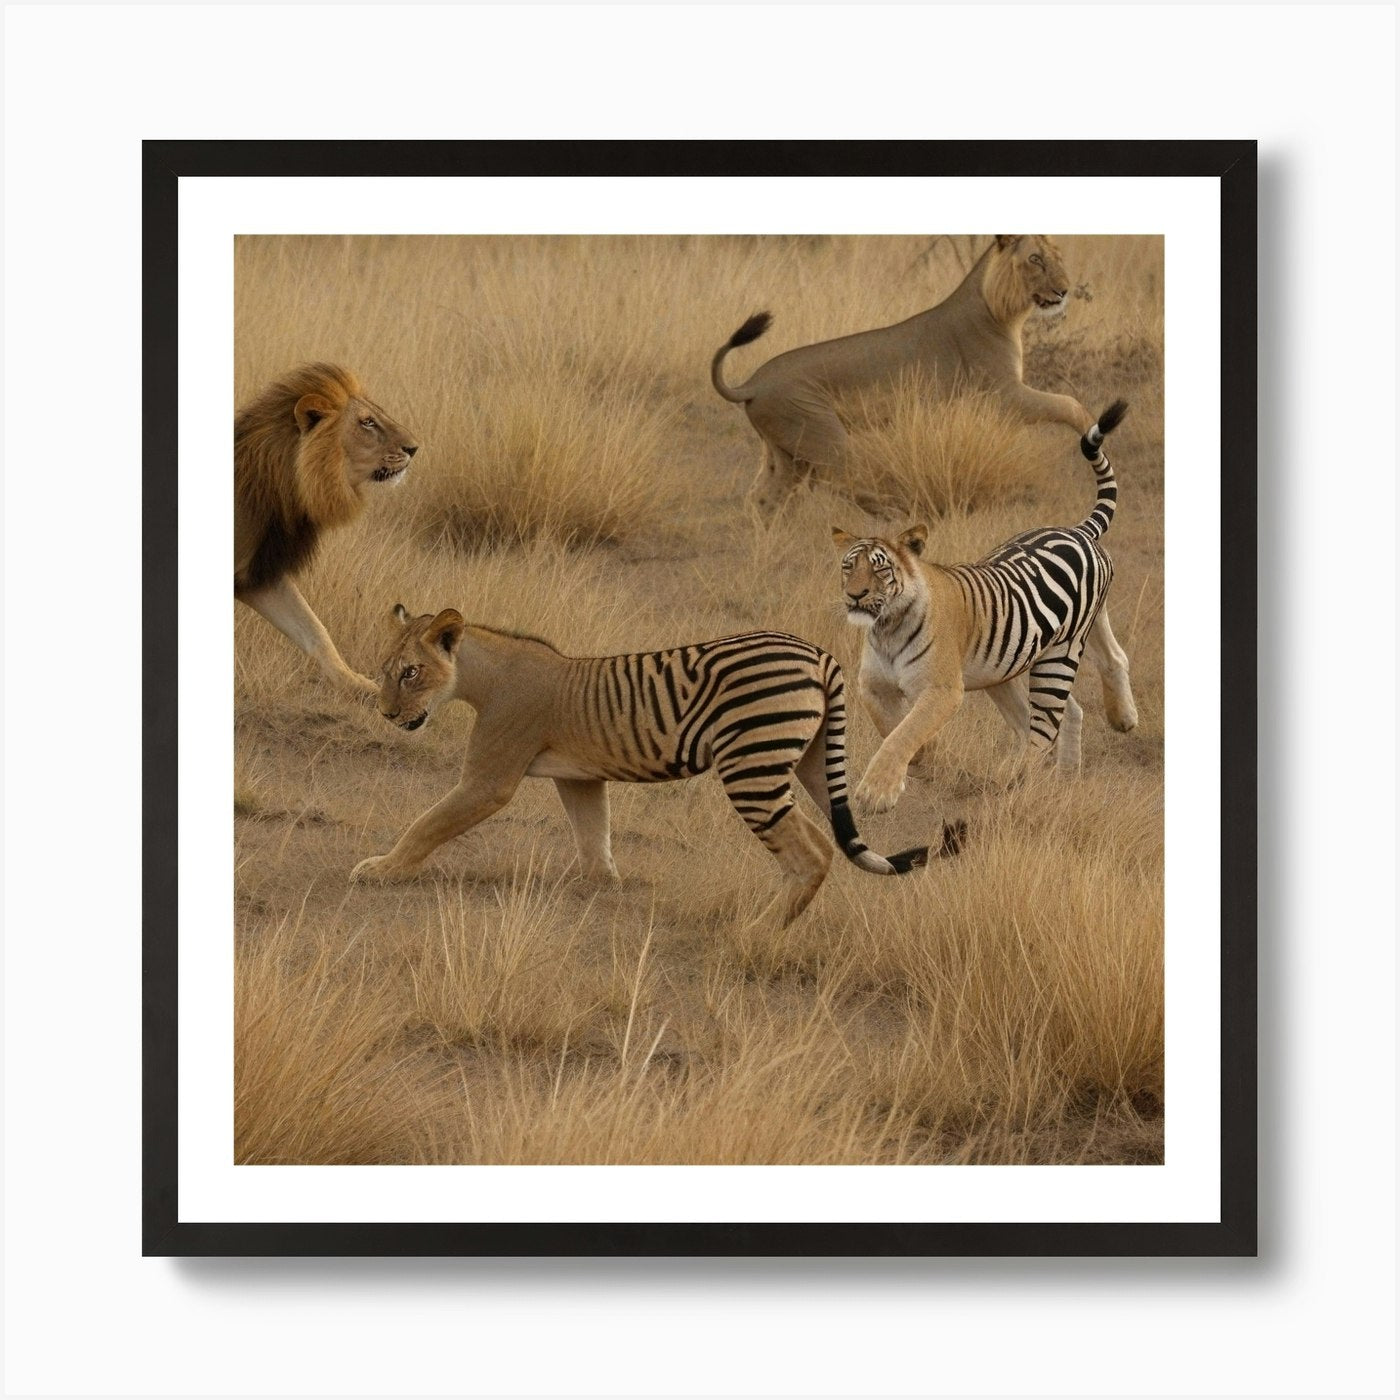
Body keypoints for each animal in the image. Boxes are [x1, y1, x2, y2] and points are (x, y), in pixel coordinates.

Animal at [350, 610, 964, 924]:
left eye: (409, 672)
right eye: (384, 670)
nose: (385, 713)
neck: (481, 676)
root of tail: (817, 652)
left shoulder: (488, 782)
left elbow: (426, 824)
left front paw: (381, 869)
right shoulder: (580, 778)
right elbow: (593, 836)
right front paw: (603, 886)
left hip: (750, 769)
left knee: (810, 850)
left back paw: (759, 932)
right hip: (810, 762)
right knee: (824, 838)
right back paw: (773, 920)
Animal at [712, 235, 1095, 513]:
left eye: (1057, 256)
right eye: (1035, 259)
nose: (1064, 290)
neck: (1003, 313)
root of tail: (753, 383)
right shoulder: (1005, 394)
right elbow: (1068, 404)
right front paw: (1093, 432)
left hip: (786, 452)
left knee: (763, 498)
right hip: (822, 436)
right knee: (844, 483)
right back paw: (892, 512)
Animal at [834, 400, 1138, 813]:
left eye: (881, 569)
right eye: (849, 566)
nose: (855, 595)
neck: (886, 627)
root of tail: (1076, 530)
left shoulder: (942, 688)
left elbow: (903, 732)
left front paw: (878, 791)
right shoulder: (872, 685)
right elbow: (891, 727)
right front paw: (924, 759)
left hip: (1058, 656)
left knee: (1043, 728)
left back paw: (1017, 779)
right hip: (1016, 664)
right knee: (1100, 673)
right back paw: (1084, 758)